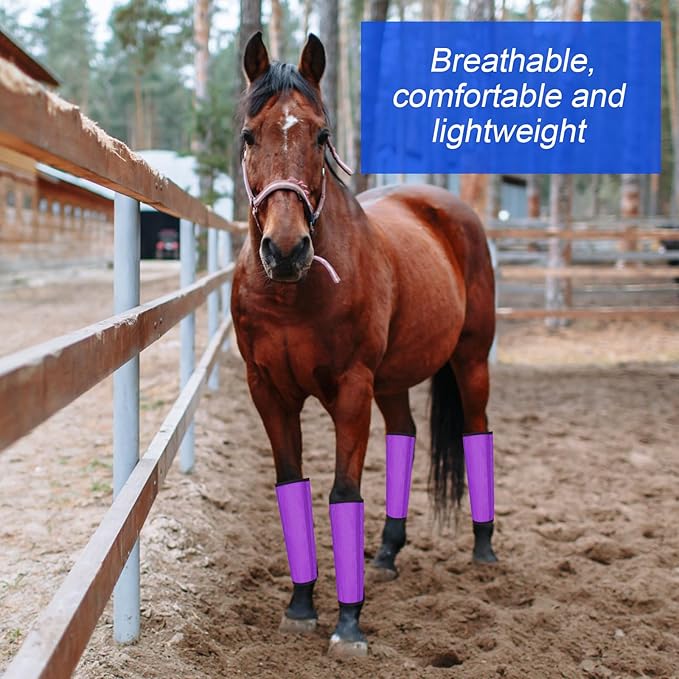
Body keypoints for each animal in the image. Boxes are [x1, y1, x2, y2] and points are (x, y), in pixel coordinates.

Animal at [231, 32, 497, 657]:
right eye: (249, 135)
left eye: (321, 135)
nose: (285, 250)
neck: (292, 293)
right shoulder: (268, 392)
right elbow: (292, 486)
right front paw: (301, 605)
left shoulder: (351, 390)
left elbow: (343, 493)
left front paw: (348, 623)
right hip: (393, 381)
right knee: (405, 434)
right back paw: (387, 552)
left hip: (471, 360)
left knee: (477, 431)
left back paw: (483, 547)